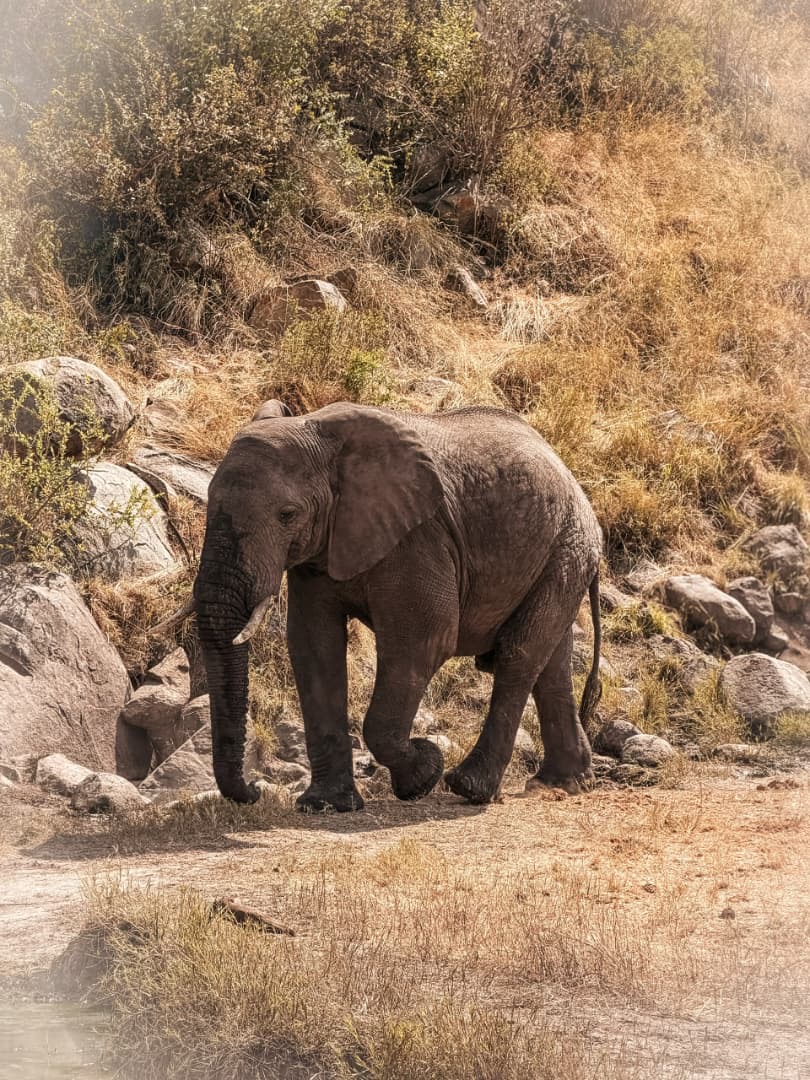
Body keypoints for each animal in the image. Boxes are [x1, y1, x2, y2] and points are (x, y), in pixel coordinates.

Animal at [187, 399, 603, 810]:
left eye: (287, 515)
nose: (253, 792)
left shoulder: (418, 537)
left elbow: (423, 641)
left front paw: (423, 773)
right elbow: (313, 647)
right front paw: (326, 805)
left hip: (568, 547)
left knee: (519, 657)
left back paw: (470, 788)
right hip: (559, 555)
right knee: (551, 664)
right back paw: (564, 783)